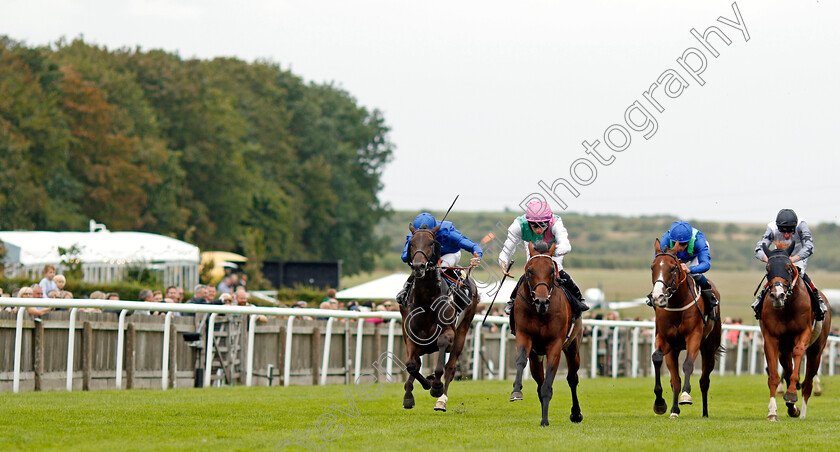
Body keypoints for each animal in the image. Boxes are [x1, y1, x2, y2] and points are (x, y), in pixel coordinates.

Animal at [400, 224, 480, 412]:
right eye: (411, 243)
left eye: (431, 242)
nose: (418, 266)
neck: (426, 300)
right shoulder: (410, 335)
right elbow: (411, 365)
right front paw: (411, 394)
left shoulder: (448, 331)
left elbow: (442, 352)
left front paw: (435, 386)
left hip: (463, 330)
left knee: (450, 367)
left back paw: (441, 400)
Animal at [506, 242, 584, 426]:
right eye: (529, 270)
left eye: (551, 271)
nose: (541, 302)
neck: (540, 313)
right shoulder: (525, 336)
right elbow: (521, 360)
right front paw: (516, 391)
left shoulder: (555, 345)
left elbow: (549, 382)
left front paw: (545, 421)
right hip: (537, 356)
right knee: (539, 381)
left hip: (573, 347)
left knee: (572, 378)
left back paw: (576, 414)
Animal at [648, 238, 720, 418]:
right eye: (653, 267)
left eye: (673, 268)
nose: (658, 297)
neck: (677, 304)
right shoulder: (664, 339)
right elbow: (657, 358)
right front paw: (660, 403)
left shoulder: (693, 336)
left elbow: (688, 364)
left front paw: (686, 396)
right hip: (673, 350)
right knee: (675, 381)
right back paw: (674, 410)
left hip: (709, 348)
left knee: (704, 381)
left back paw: (705, 412)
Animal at [756, 244, 832, 420]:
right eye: (768, 268)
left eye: (788, 268)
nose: (778, 295)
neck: (787, 307)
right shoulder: (771, 339)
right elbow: (775, 376)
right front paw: (772, 412)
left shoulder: (803, 334)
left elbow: (798, 355)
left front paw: (791, 394)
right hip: (784, 350)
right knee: (788, 371)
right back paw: (792, 409)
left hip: (816, 350)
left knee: (807, 383)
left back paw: (801, 413)